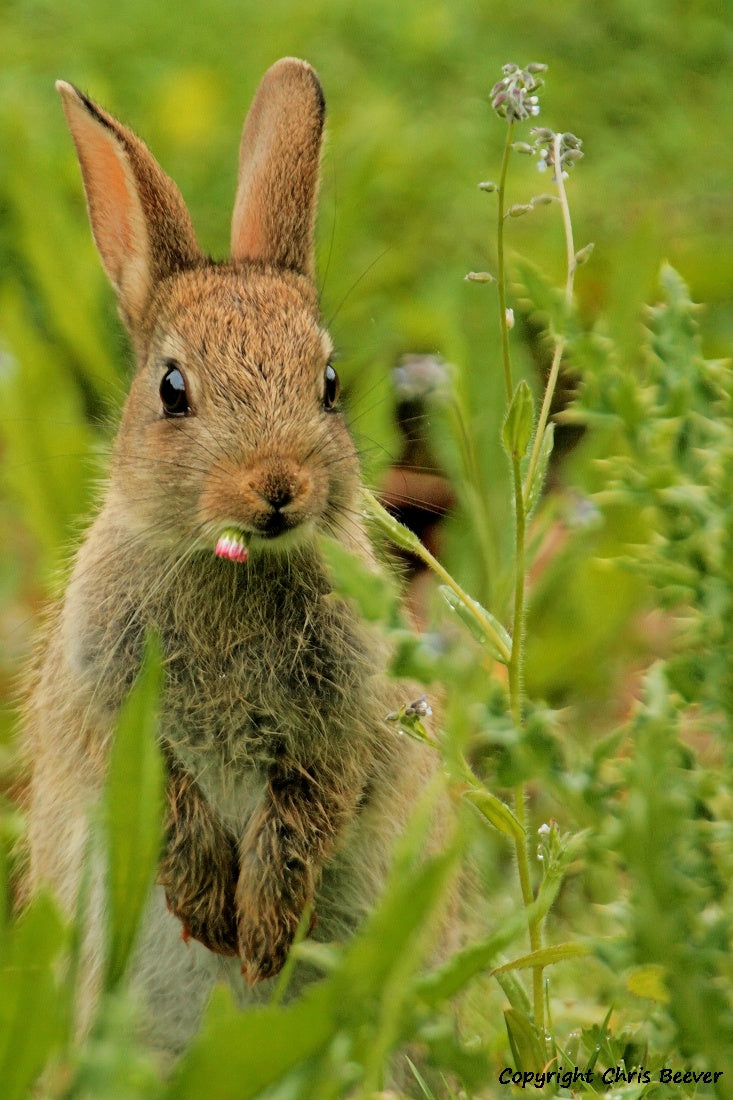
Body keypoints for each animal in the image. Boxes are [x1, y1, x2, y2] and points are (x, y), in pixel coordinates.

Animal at [24, 55, 440, 1051]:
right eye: (172, 389)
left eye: (329, 383)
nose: (277, 486)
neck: (230, 567)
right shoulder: (110, 711)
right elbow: (166, 805)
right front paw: (216, 916)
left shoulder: (341, 723)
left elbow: (304, 813)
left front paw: (259, 937)